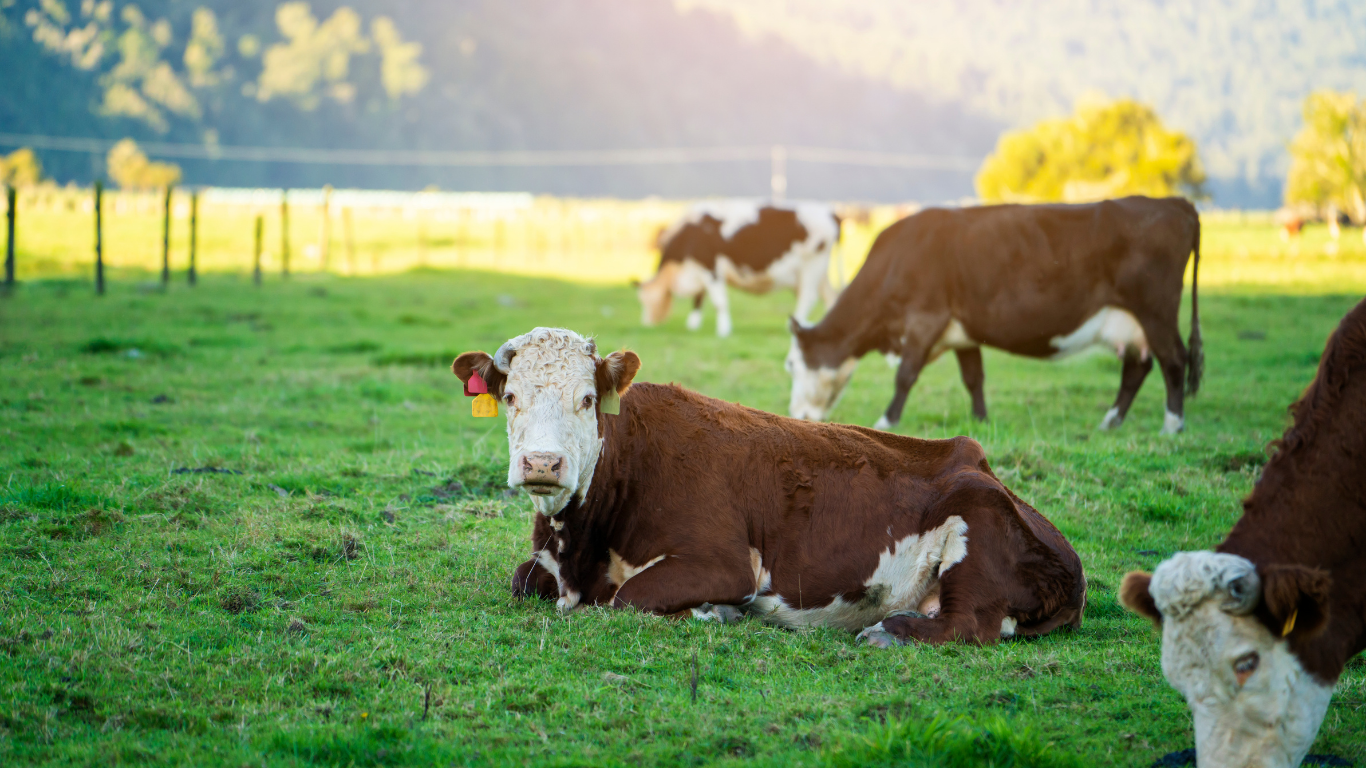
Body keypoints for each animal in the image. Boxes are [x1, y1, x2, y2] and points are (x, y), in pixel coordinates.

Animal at [451, 327, 1087, 646]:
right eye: (510, 396)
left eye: (586, 399)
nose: (542, 462)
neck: (580, 545)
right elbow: (521, 580)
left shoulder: (724, 562)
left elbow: (625, 599)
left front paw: (715, 613)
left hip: (975, 520)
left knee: (970, 625)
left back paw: (889, 631)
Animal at [635, 199, 841, 338]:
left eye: (647, 300)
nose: (646, 325)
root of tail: (831, 213)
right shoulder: (700, 270)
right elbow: (699, 298)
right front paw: (693, 325)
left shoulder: (710, 267)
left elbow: (719, 301)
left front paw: (723, 331)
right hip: (821, 273)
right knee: (830, 297)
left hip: (812, 265)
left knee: (807, 297)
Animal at [786, 196, 1202, 434]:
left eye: (791, 365)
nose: (797, 415)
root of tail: (1174, 202)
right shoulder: (962, 331)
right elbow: (974, 378)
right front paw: (981, 421)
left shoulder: (925, 318)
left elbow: (905, 376)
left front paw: (886, 421)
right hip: (1132, 322)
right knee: (1137, 368)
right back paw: (1111, 422)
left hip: (1155, 310)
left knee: (1173, 360)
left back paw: (1173, 424)